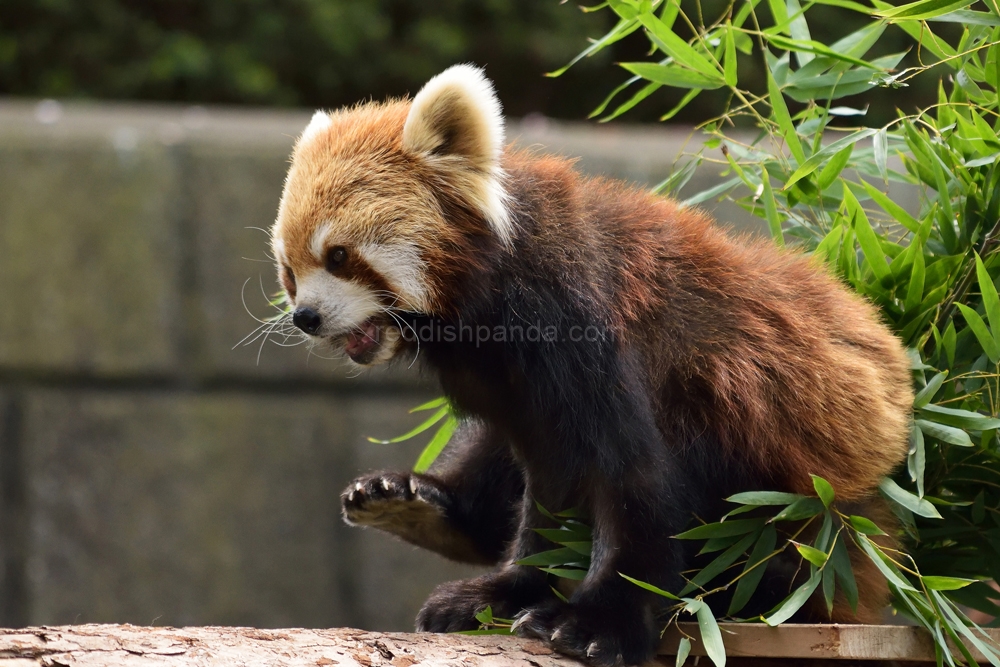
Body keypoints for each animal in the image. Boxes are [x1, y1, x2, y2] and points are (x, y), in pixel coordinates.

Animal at [268, 66, 916, 667]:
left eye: (339, 256)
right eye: (290, 270)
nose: (305, 317)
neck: (494, 295)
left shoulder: (585, 328)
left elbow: (632, 477)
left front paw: (597, 622)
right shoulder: (515, 386)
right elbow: (547, 480)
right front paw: (509, 589)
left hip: (794, 507)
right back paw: (416, 506)